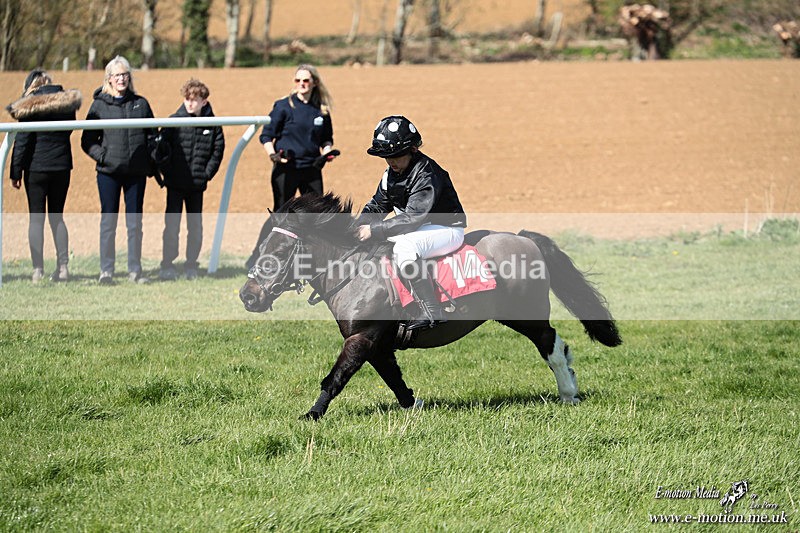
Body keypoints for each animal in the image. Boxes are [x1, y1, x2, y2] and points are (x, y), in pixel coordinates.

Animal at [239, 193, 622, 420]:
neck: (353, 271)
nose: (248, 296)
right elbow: (393, 378)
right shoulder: (377, 343)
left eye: (277, 251)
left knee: (551, 345)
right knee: (559, 344)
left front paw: (311, 415)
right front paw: (414, 404)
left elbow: (336, 377)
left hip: (524, 315)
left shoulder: (361, 339)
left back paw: (568, 393)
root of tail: (524, 238)